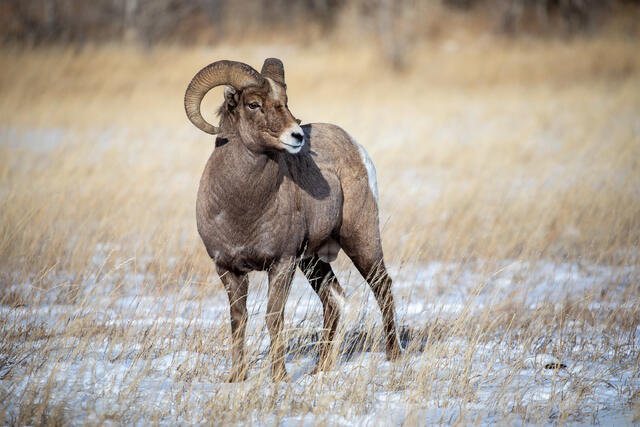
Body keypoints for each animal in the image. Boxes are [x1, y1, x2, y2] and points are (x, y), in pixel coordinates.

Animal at [184, 58, 402, 381]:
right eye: (253, 104)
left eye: (284, 102)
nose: (297, 136)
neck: (242, 208)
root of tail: (354, 145)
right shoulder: (227, 269)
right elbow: (239, 319)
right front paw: (236, 378)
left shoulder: (281, 264)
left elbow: (274, 317)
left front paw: (279, 377)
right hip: (312, 261)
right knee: (334, 300)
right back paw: (320, 369)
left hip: (361, 241)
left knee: (382, 288)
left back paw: (394, 356)